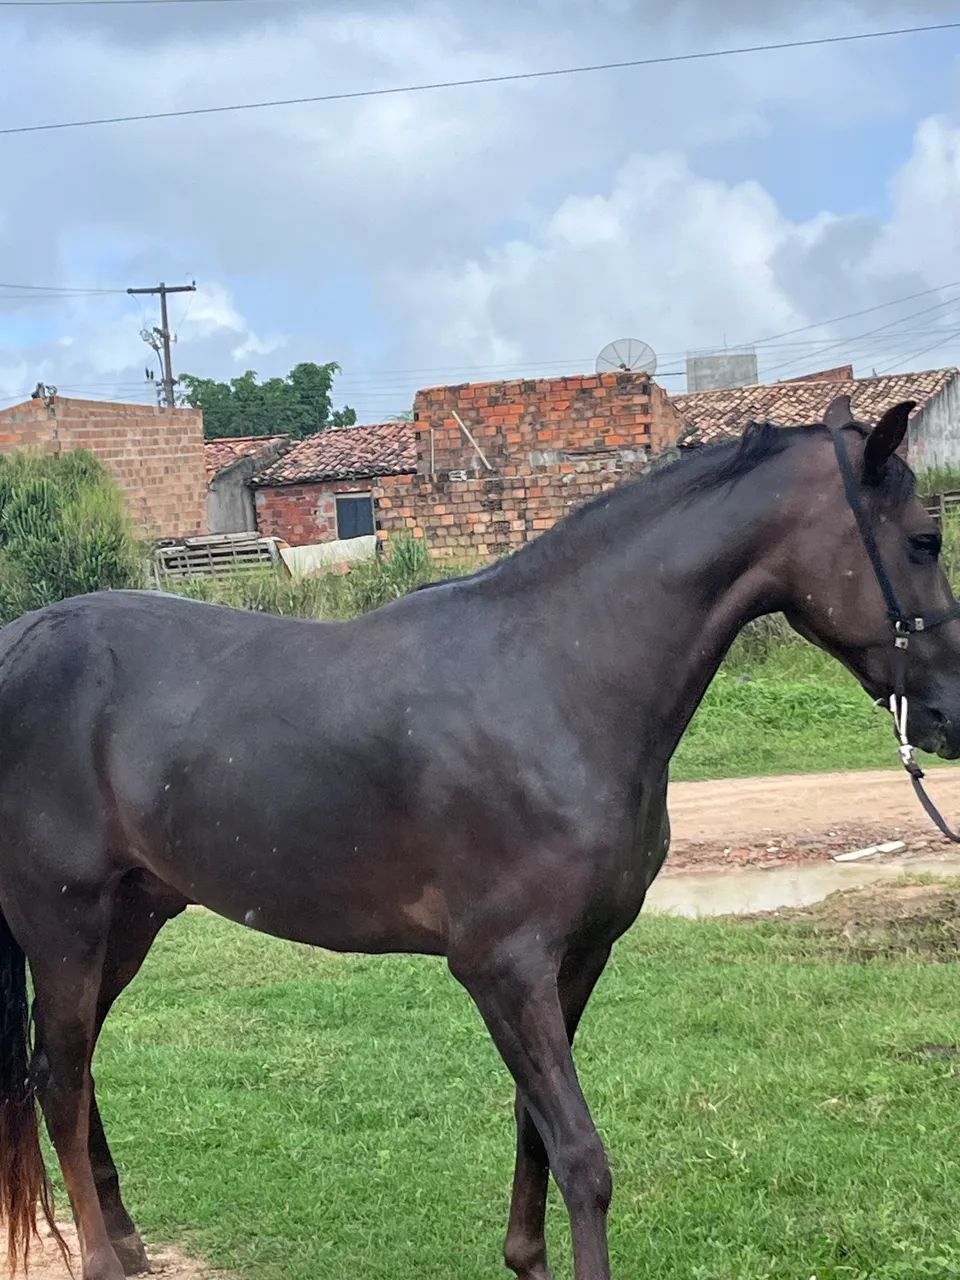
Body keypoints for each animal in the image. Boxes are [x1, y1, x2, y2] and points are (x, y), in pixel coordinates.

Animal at [0, 396, 958, 1280]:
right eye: (924, 540)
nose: (949, 714)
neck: (554, 683)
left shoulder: (578, 958)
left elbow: (536, 1128)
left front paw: (525, 1258)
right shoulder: (504, 966)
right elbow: (582, 1155)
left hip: (131, 919)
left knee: (75, 1071)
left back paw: (128, 1244)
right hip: (65, 925)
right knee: (59, 1079)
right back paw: (100, 1258)